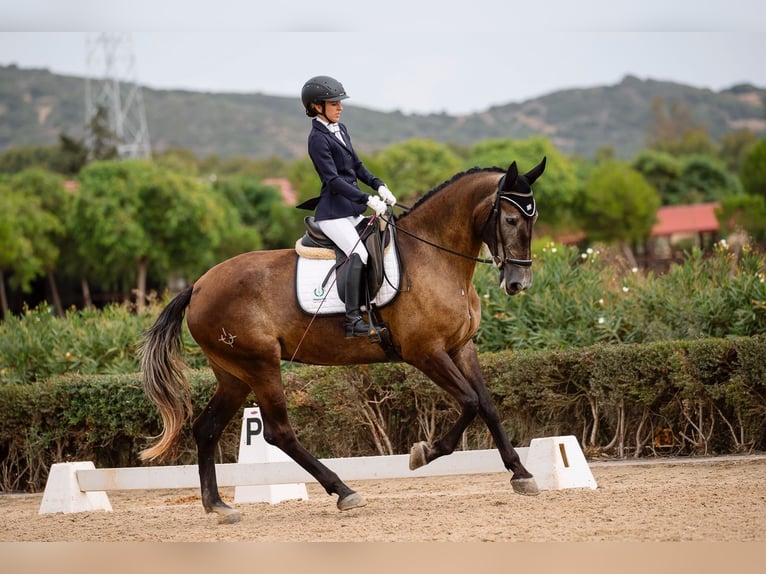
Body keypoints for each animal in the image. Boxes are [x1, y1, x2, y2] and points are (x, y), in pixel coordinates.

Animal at [141, 158, 548, 528]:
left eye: (533, 219)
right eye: (511, 220)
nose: (519, 283)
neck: (434, 257)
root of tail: (198, 285)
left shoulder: (461, 347)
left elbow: (487, 404)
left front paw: (521, 473)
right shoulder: (426, 352)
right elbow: (469, 401)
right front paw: (424, 452)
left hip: (233, 374)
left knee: (207, 428)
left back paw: (218, 505)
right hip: (260, 365)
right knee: (278, 431)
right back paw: (344, 491)